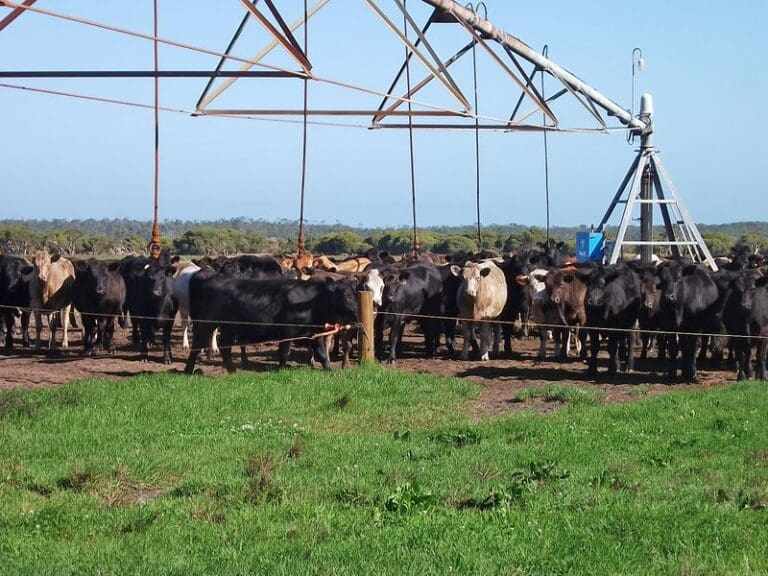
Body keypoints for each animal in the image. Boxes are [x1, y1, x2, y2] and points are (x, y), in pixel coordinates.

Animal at [185, 274, 359, 374]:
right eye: (346, 295)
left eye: (355, 293)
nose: (355, 312)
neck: (310, 302)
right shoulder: (287, 331)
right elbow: (285, 352)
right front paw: (280, 370)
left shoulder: (315, 333)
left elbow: (322, 353)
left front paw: (330, 371)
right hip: (207, 322)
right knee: (197, 343)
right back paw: (188, 370)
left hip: (229, 327)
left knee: (224, 345)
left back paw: (233, 371)